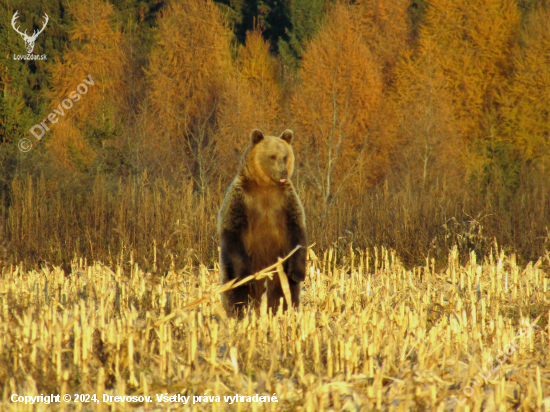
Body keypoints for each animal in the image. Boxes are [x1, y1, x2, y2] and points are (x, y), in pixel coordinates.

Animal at [219, 130, 306, 318]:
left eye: (285, 156)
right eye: (272, 156)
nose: (283, 174)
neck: (265, 186)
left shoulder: (286, 202)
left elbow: (296, 231)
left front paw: (297, 273)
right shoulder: (241, 200)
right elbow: (233, 231)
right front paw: (246, 277)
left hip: (279, 271)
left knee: (284, 295)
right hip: (233, 270)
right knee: (236, 294)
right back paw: (238, 313)